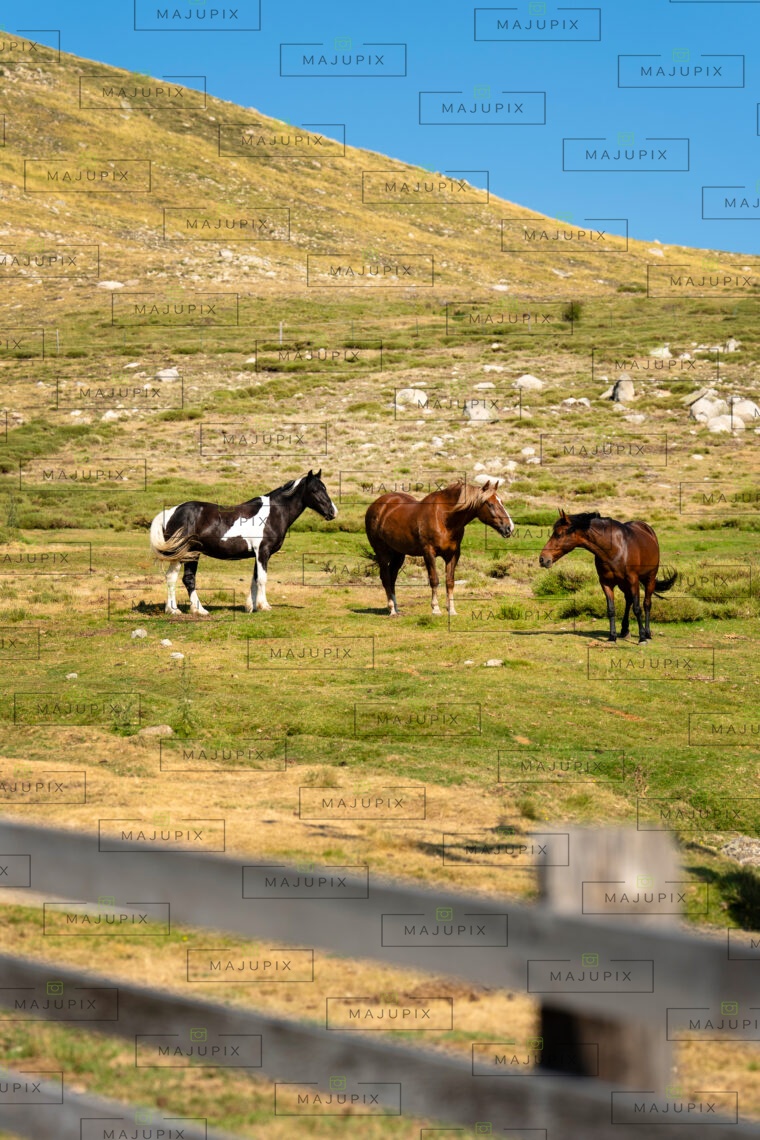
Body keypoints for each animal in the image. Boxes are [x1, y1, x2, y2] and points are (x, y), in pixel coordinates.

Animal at [148, 470, 337, 615]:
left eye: (325, 488)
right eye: (315, 490)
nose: (333, 512)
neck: (273, 513)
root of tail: (171, 511)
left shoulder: (258, 554)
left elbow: (254, 578)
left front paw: (251, 606)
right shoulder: (263, 552)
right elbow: (262, 579)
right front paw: (264, 606)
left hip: (190, 554)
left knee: (181, 578)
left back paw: (187, 610)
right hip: (183, 553)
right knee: (178, 578)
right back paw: (185, 610)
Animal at [364, 480, 514, 616]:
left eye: (501, 502)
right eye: (490, 504)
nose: (509, 528)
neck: (444, 518)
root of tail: (376, 505)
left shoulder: (453, 554)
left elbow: (450, 582)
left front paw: (451, 610)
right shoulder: (429, 553)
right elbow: (434, 580)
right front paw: (436, 609)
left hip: (398, 554)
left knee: (392, 577)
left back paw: (396, 607)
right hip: (382, 552)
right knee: (385, 577)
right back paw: (392, 609)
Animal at [538, 509, 677, 643]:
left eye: (559, 534)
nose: (543, 559)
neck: (615, 549)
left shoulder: (633, 580)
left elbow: (637, 608)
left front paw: (642, 637)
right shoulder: (606, 582)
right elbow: (611, 609)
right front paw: (612, 637)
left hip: (649, 579)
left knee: (646, 604)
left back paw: (647, 633)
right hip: (623, 584)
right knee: (628, 601)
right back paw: (625, 630)